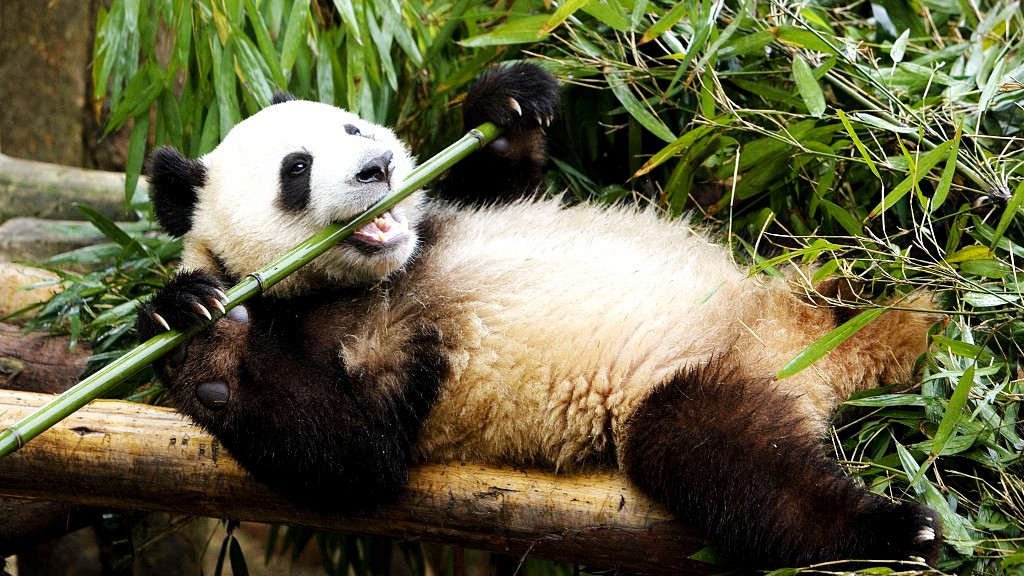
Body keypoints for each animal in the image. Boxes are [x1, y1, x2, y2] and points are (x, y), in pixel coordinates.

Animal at [138, 65, 942, 565]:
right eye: (297, 170)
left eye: (352, 131)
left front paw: (508, 102)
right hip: (696, 385)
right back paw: (895, 530)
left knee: (857, 254)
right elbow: (349, 453)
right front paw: (196, 325)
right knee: (737, 468)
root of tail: (812, 350)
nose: (377, 170)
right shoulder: (353, 344)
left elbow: (507, 181)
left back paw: (919, 232)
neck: (381, 276)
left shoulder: (445, 218)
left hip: (805, 272)